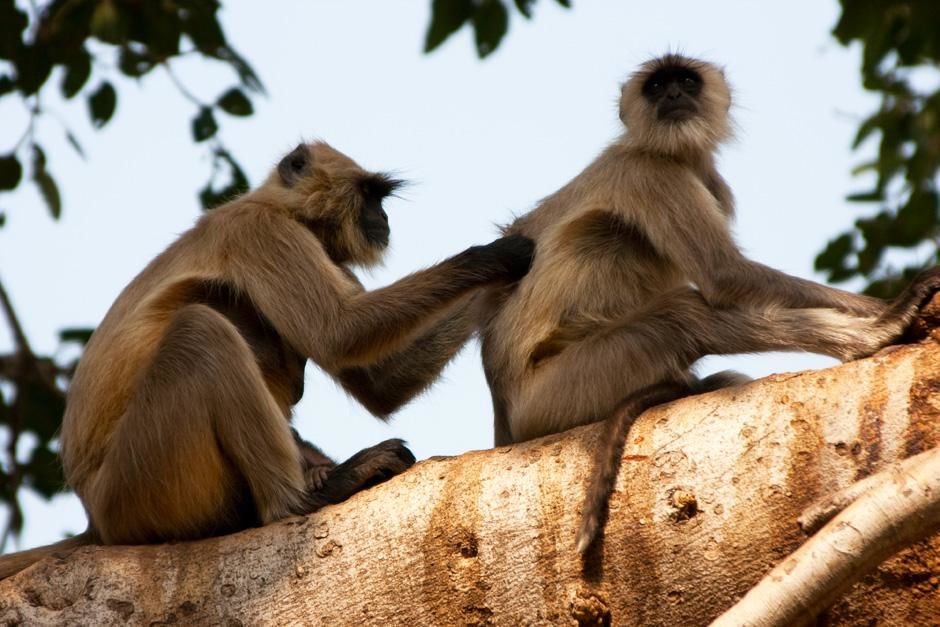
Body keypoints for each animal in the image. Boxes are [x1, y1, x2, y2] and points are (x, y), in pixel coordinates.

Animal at [0, 140, 532, 576]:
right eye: (370, 196)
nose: (384, 220)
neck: (276, 205)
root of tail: (95, 518)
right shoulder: (262, 230)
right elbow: (339, 332)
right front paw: (496, 255)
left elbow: (380, 384)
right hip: (138, 480)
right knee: (201, 332)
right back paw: (301, 500)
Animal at [478, 54, 940, 556]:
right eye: (656, 86)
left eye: (685, 81)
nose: (672, 95)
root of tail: (506, 421)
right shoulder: (648, 171)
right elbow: (725, 277)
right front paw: (891, 309)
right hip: (560, 391)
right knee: (684, 315)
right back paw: (872, 335)